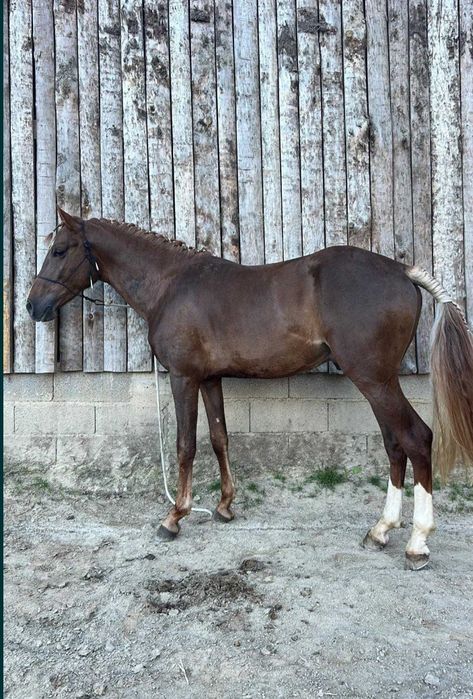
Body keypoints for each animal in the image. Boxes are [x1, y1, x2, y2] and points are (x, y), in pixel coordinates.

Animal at [27, 208, 473, 570]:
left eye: (60, 250)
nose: (33, 306)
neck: (171, 285)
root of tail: (402, 272)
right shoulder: (210, 379)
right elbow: (220, 438)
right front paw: (225, 507)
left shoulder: (183, 377)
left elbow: (185, 445)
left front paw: (174, 517)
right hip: (378, 382)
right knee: (395, 445)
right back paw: (381, 530)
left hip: (375, 380)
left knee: (416, 438)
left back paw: (417, 544)